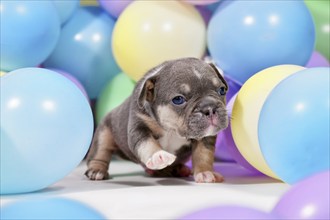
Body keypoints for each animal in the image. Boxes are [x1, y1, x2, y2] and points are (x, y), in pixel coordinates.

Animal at [85, 57, 228, 183]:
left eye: (222, 90)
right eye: (178, 99)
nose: (209, 108)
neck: (171, 129)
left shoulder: (205, 136)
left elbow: (203, 153)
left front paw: (205, 172)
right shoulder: (139, 128)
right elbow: (147, 143)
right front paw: (158, 155)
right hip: (104, 132)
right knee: (101, 152)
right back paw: (96, 170)